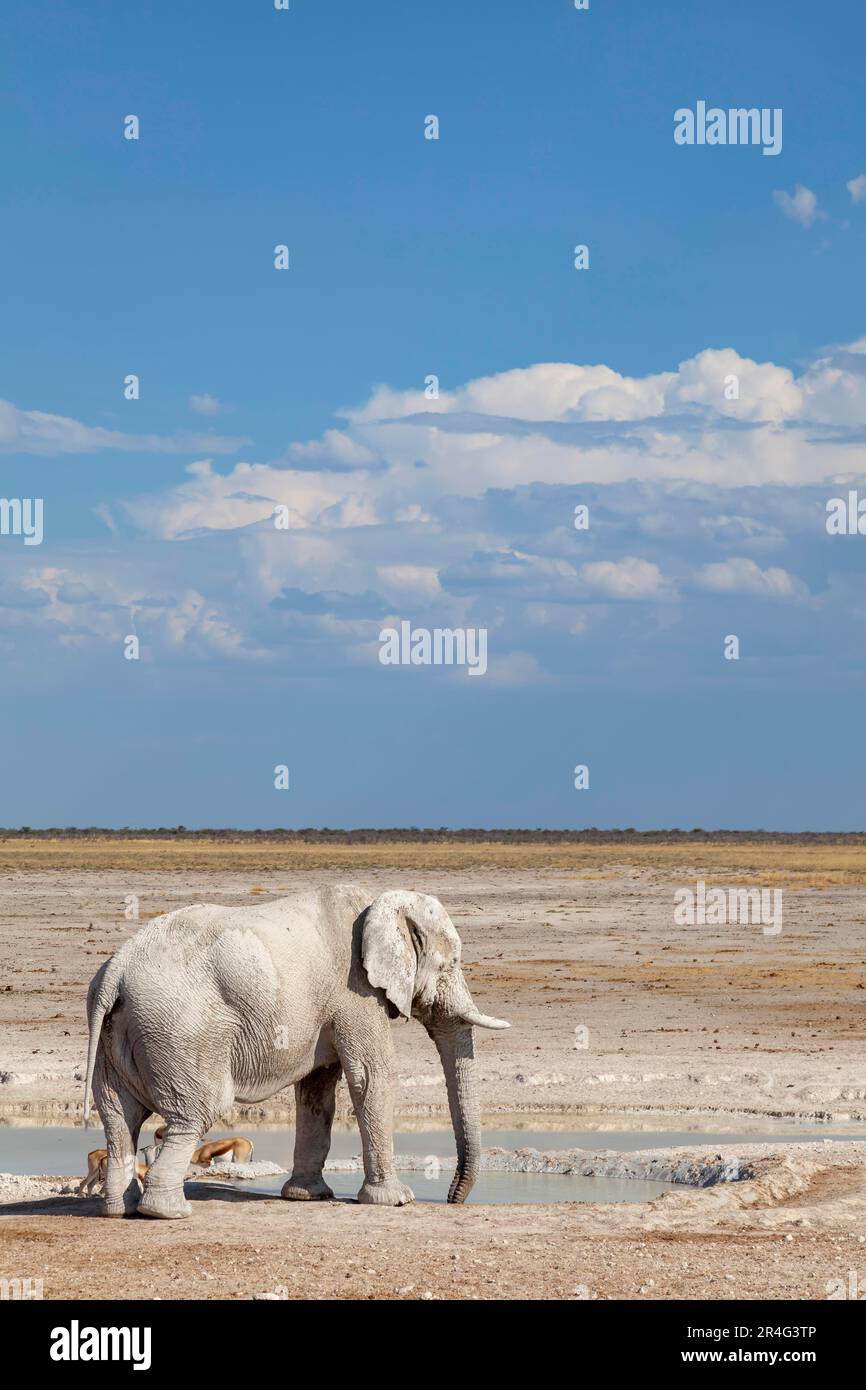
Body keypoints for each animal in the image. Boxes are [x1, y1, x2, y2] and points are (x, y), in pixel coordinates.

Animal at [83, 884, 508, 1223]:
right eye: (450, 964)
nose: (453, 1199)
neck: (380, 902)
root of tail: (114, 972)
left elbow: (316, 1090)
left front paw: (307, 1196)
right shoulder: (355, 990)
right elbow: (371, 1076)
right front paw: (397, 1200)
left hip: (117, 1035)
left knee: (119, 1119)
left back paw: (120, 1209)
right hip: (180, 1031)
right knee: (195, 1114)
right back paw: (168, 1212)